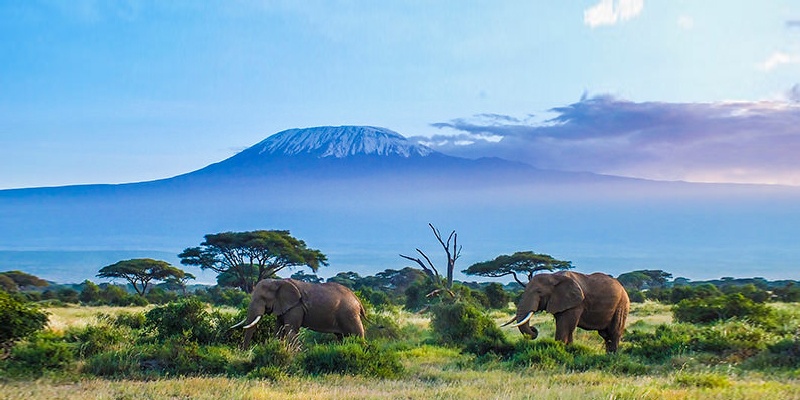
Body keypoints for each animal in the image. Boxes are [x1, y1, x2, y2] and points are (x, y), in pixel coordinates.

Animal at [231, 278, 366, 346]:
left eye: (263, 298)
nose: (244, 352)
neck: (277, 281)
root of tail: (358, 300)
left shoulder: (296, 307)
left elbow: (291, 330)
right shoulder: (284, 307)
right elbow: (278, 330)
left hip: (349, 314)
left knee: (357, 334)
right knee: (342, 337)